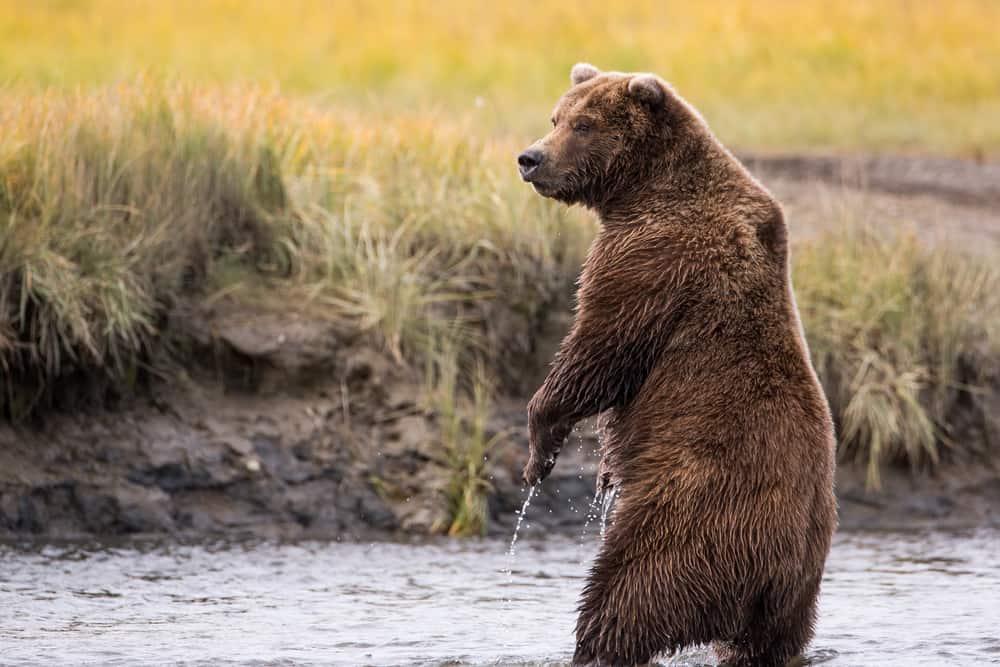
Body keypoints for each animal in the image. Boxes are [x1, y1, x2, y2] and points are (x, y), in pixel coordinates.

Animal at [516, 64, 836, 667]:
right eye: (555, 116)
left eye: (584, 124)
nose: (530, 158)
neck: (644, 188)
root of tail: (781, 567)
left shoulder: (655, 256)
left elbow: (601, 347)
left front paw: (540, 449)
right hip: (798, 593)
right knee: (769, 639)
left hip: (695, 518)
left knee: (631, 590)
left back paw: (593, 643)